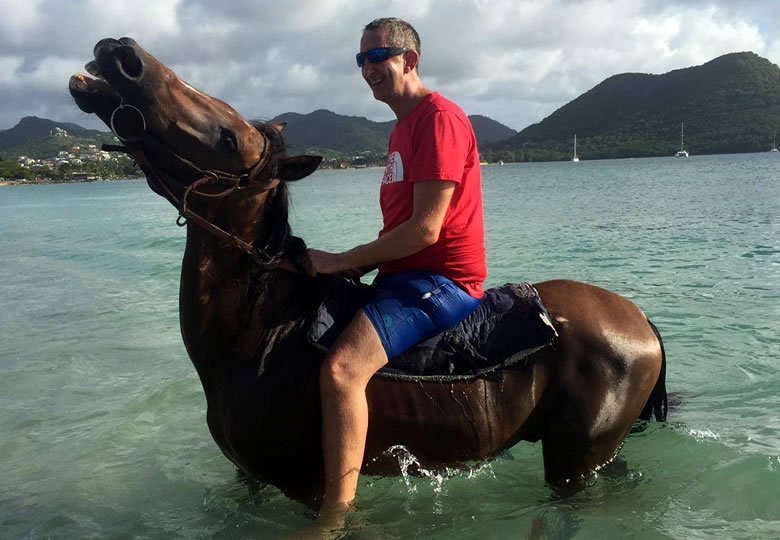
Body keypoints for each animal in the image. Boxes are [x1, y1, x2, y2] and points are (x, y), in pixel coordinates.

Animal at [71, 40, 664, 504]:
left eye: (229, 140)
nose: (124, 55)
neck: (258, 332)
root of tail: (639, 321)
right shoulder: (249, 478)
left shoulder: (307, 489)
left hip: (575, 460)